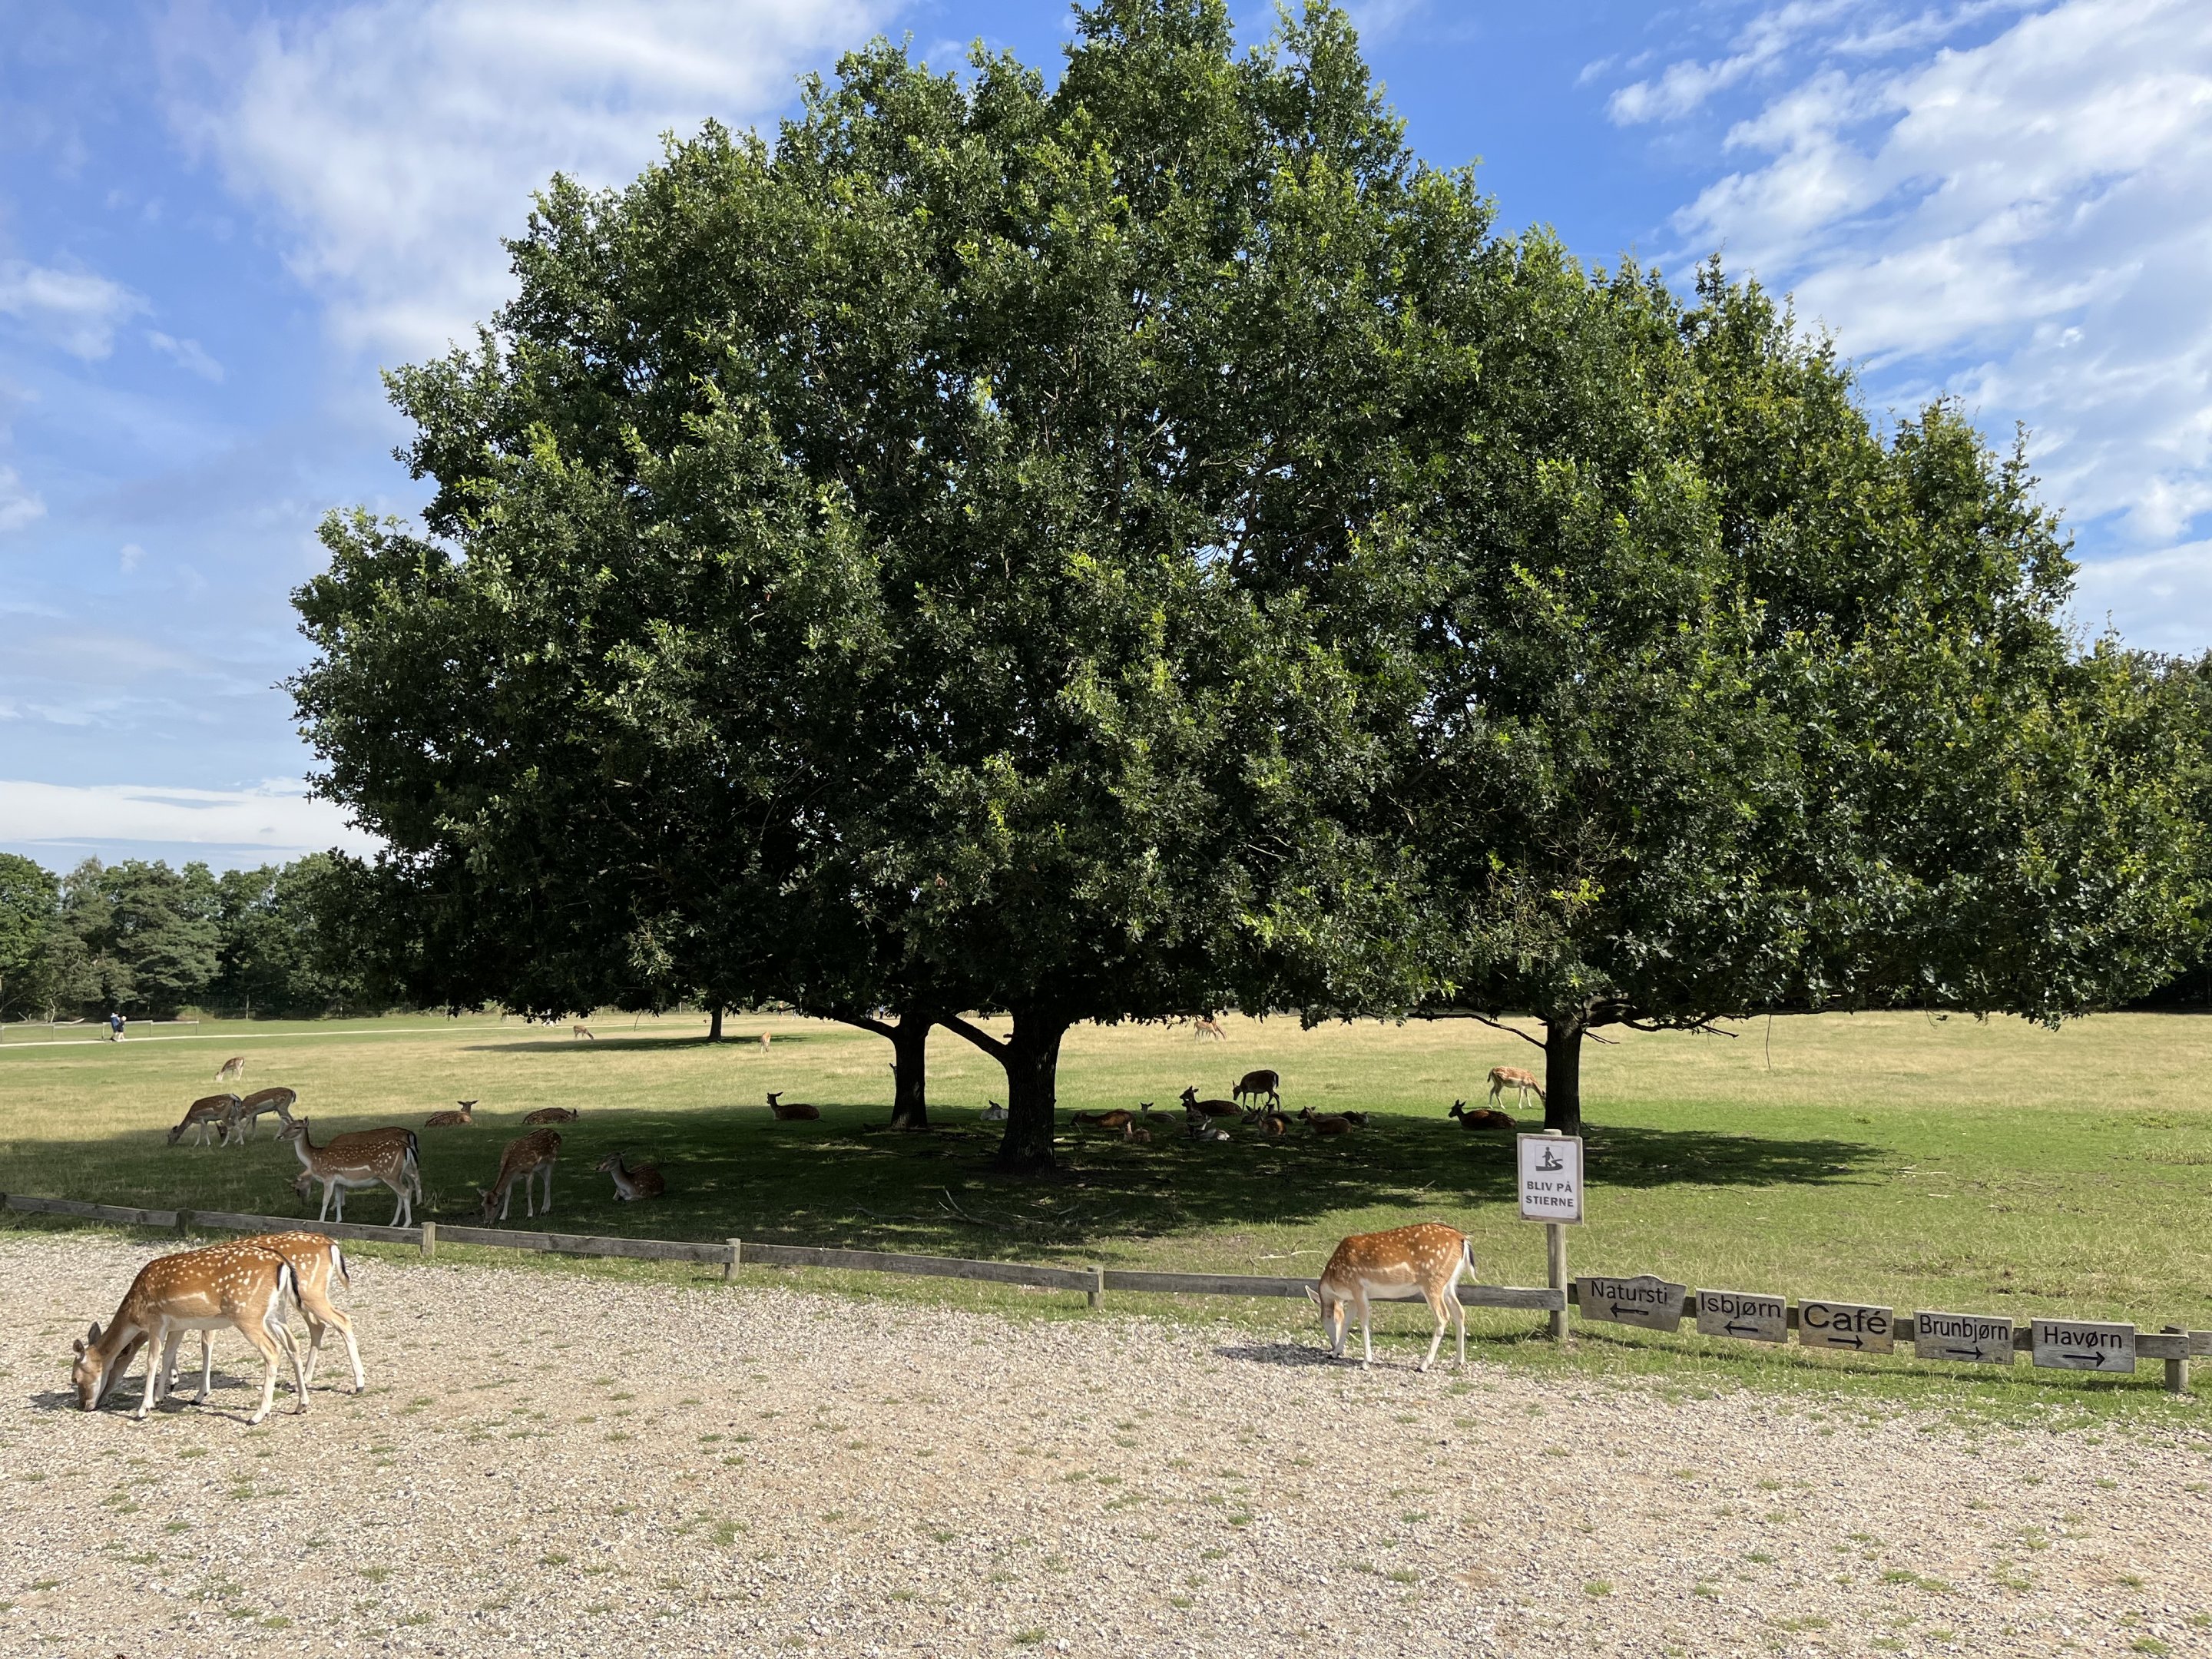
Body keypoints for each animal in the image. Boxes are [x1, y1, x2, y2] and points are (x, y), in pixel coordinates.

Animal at [71, 1243, 306, 1423]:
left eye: (75, 1378)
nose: (84, 1406)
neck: (134, 1315)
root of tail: (282, 1264)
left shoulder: (156, 1321)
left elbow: (152, 1360)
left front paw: (143, 1409)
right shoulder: (178, 1326)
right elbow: (167, 1357)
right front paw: (158, 1400)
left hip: (247, 1313)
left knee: (272, 1350)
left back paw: (257, 1415)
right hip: (275, 1313)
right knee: (293, 1344)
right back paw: (301, 1404)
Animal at [281, 1119, 421, 1229]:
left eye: (297, 1127)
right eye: (286, 1126)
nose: (280, 1136)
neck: (314, 1158)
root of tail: (406, 1146)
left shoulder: (328, 1177)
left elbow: (325, 1200)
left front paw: (321, 1222)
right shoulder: (338, 1182)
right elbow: (337, 1199)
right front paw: (338, 1220)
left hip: (391, 1174)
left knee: (405, 1191)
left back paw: (406, 1223)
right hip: (395, 1175)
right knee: (401, 1194)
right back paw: (393, 1223)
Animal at [1307, 1223, 1476, 1371]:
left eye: (1330, 1317)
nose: (1333, 1346)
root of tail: (1462, 1239)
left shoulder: (1358, 1288)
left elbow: (1364, 1322)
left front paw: (1366, 1362)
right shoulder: (1353, 1297)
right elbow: (1349, 1321)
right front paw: (1335, 1353)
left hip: (1432, 1281)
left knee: (1443, 1316)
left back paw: (1423, 1365)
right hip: (1449, 1284)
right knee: (1460, 1312)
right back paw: (1458, 1363)